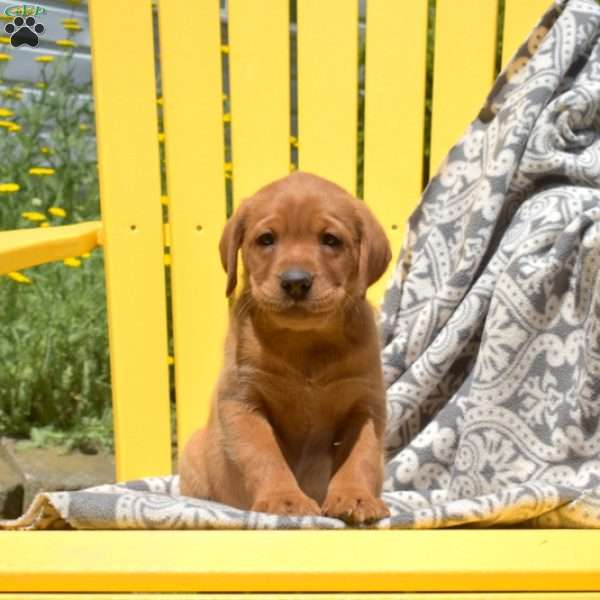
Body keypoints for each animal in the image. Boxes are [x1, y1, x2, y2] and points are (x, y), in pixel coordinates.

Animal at [178, 171, 392, 524]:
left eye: (330, 240)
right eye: (266, 239)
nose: (295, 282)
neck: (304, 343)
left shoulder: (366, 404)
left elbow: (361, 456)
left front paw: (355, 497)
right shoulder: (242, 402)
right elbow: (264, 455)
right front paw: (285, 500)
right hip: (194, 453)